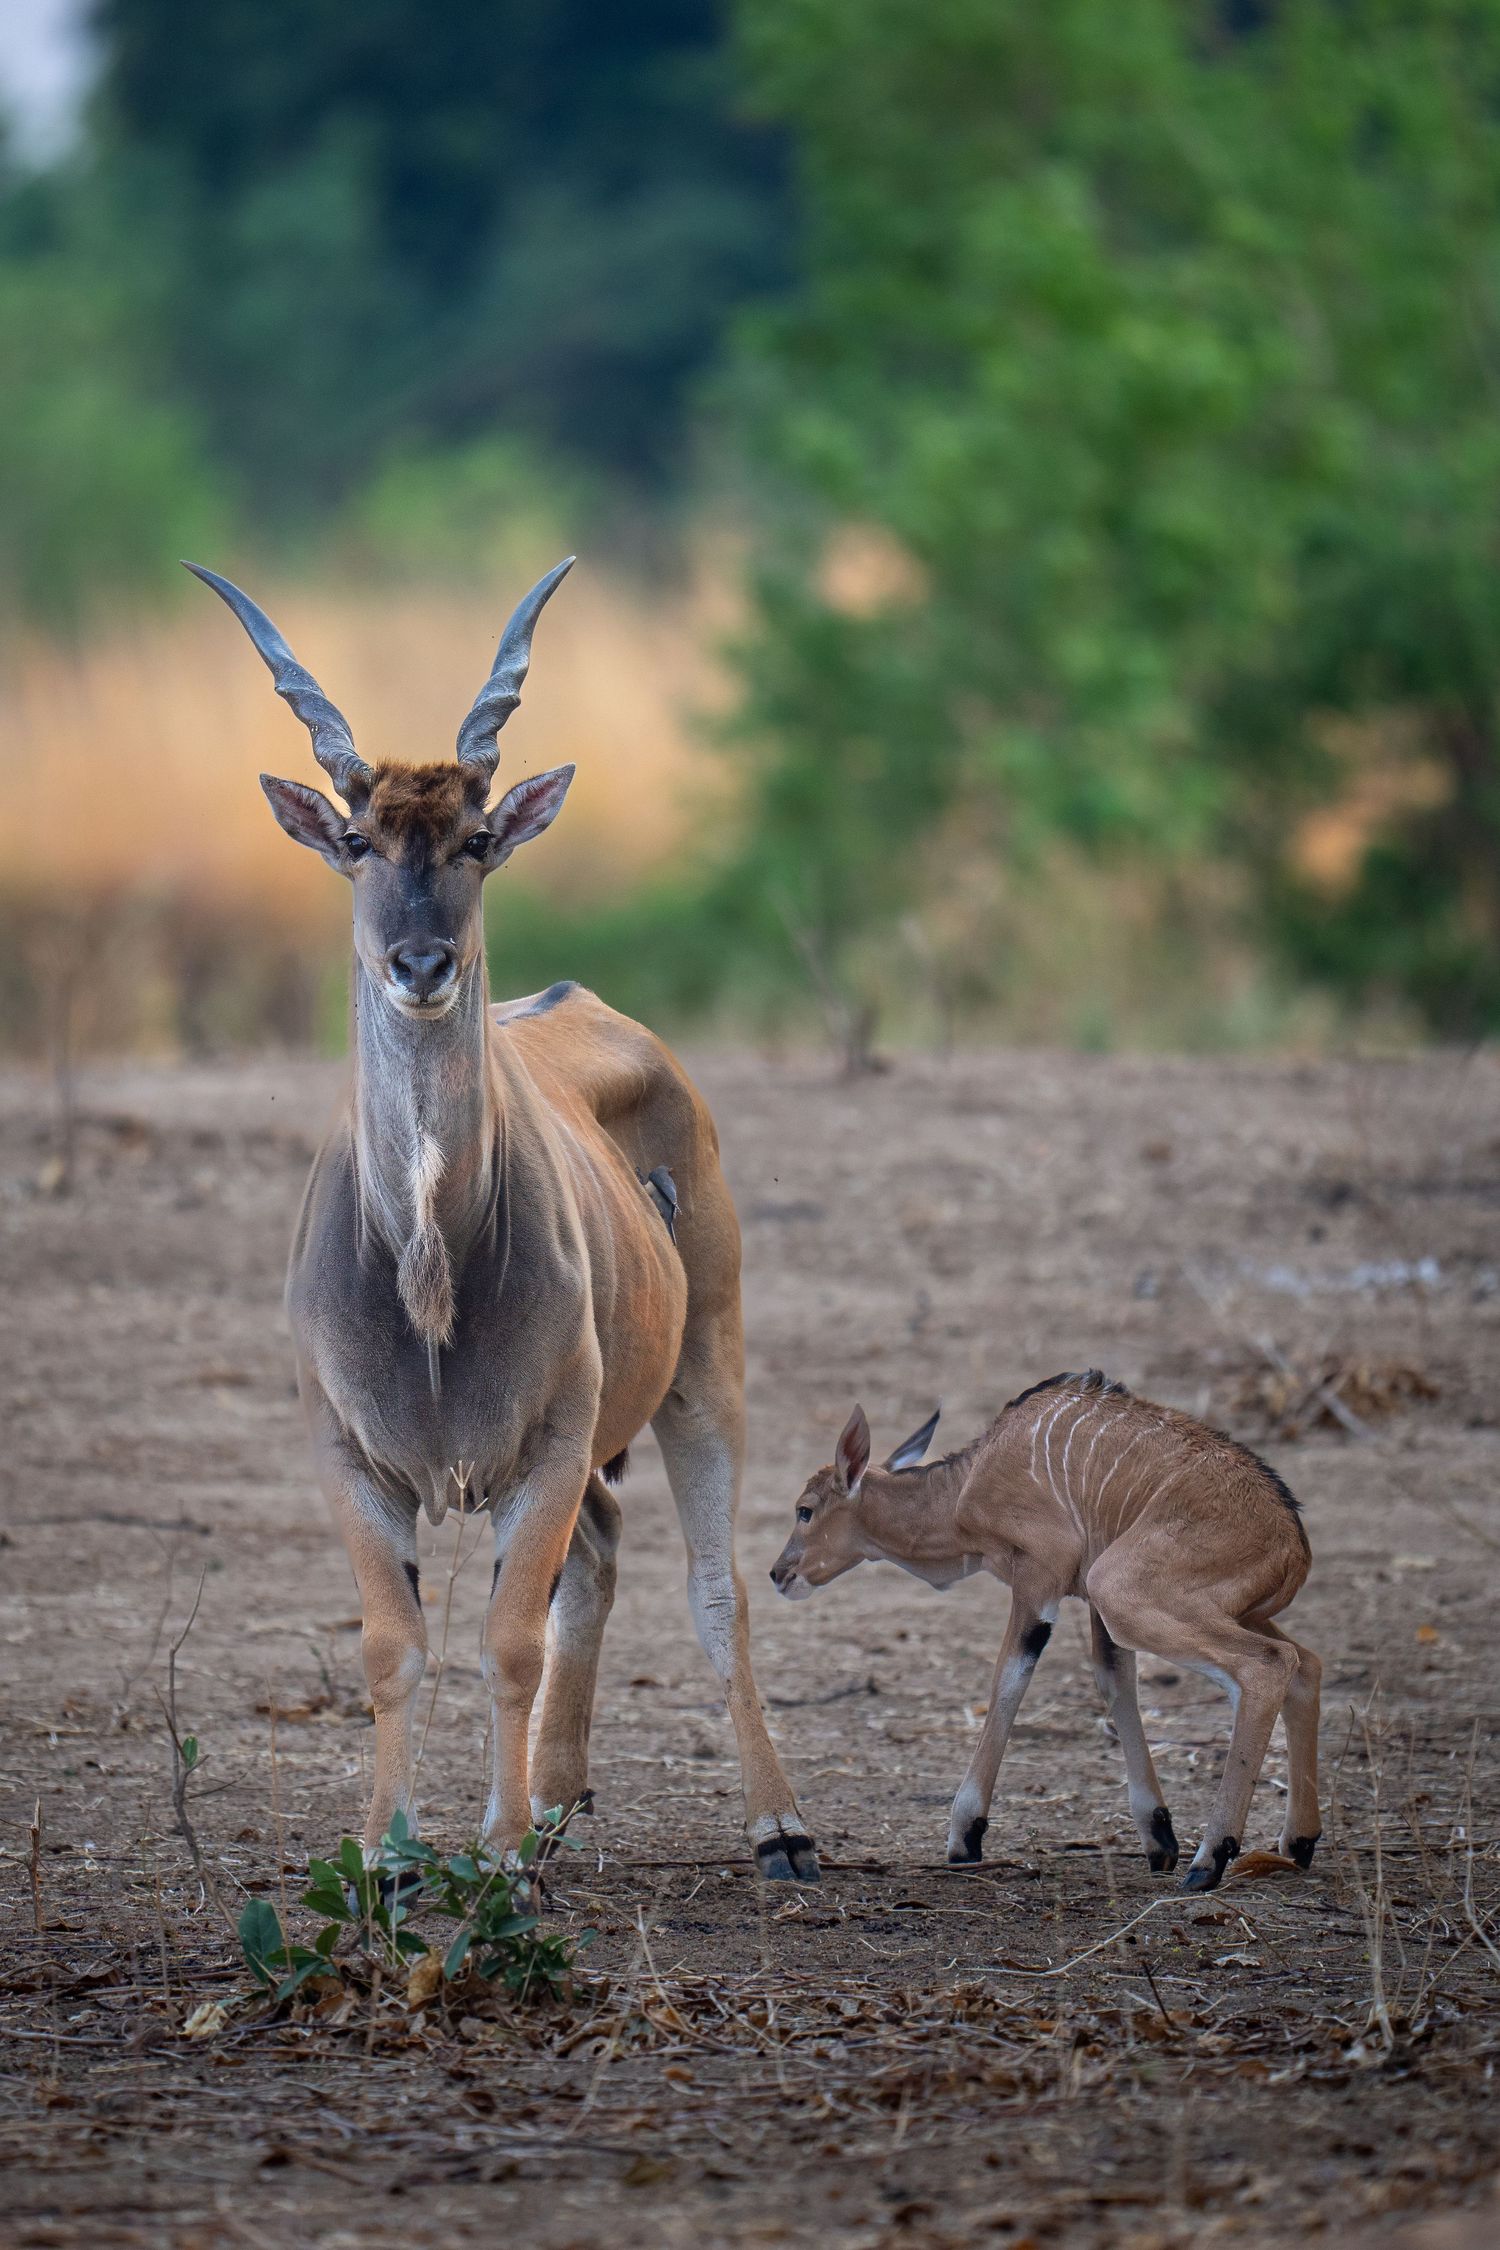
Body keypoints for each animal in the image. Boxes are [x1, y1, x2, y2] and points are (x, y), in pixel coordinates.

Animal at [188, 556, 818, 1883]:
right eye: (358, 840)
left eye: (476, 839)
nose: (422, 965)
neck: (430, 1266)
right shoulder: (350, 1456)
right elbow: (393, 1647)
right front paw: (389, 1855)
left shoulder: (548, 1445)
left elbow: (507, 1642)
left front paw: (503, 1857)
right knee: (608, 1550)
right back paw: (561, 1800)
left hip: (705, 1369)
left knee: (714, 1584)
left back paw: (774, 1825)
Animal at [770, 1370, 1321, 1892]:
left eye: (805, 1510)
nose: (779, 1574)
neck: (965, 1485)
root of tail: (1292, 1540)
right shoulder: (1090, 1602)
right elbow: (1115, 1682)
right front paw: (1158, 1836)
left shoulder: (1042, 1576)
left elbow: (1009, 1679)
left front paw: (965, 1835)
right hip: (1215, 1609)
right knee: (1305, 1663)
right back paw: (1298, 1841)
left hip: (1125, 1591)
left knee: (1267, 1664)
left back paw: (1211, 1858)